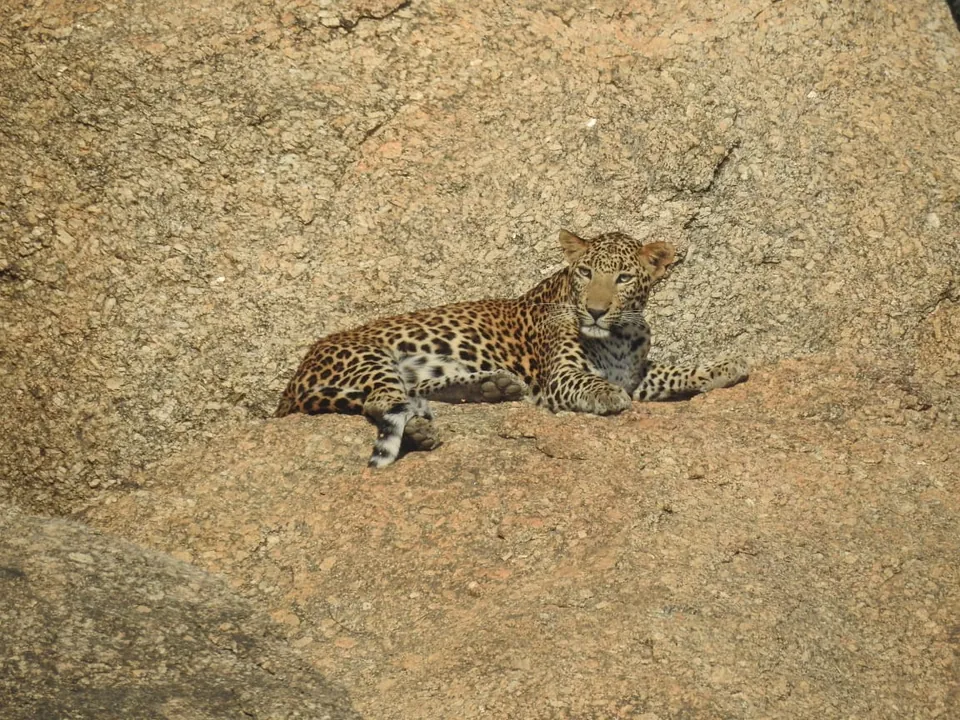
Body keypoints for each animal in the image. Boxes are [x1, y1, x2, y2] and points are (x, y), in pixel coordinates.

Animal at [274, 229, 748, 468]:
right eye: (586, 272)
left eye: (624, 278)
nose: (595, 311)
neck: (618, 334)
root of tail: (291, 385)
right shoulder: (561, 378)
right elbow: (591, 383)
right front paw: (607, 396)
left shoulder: (637, 373)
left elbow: (676, 371)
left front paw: (725, 366)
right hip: (370, 357)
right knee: (382, 402)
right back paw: (426, 431)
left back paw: (493, 388)